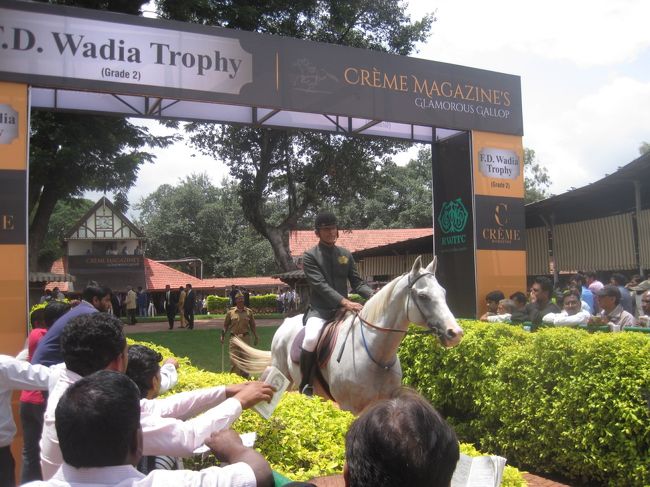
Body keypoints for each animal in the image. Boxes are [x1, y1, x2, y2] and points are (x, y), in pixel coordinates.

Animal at [230, 258, 464, 414]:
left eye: (443, 293)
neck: (375, 353)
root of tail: (285, 324)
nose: (455, 333)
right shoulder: (349, 407)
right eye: (423, 296)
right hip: (285, 378)